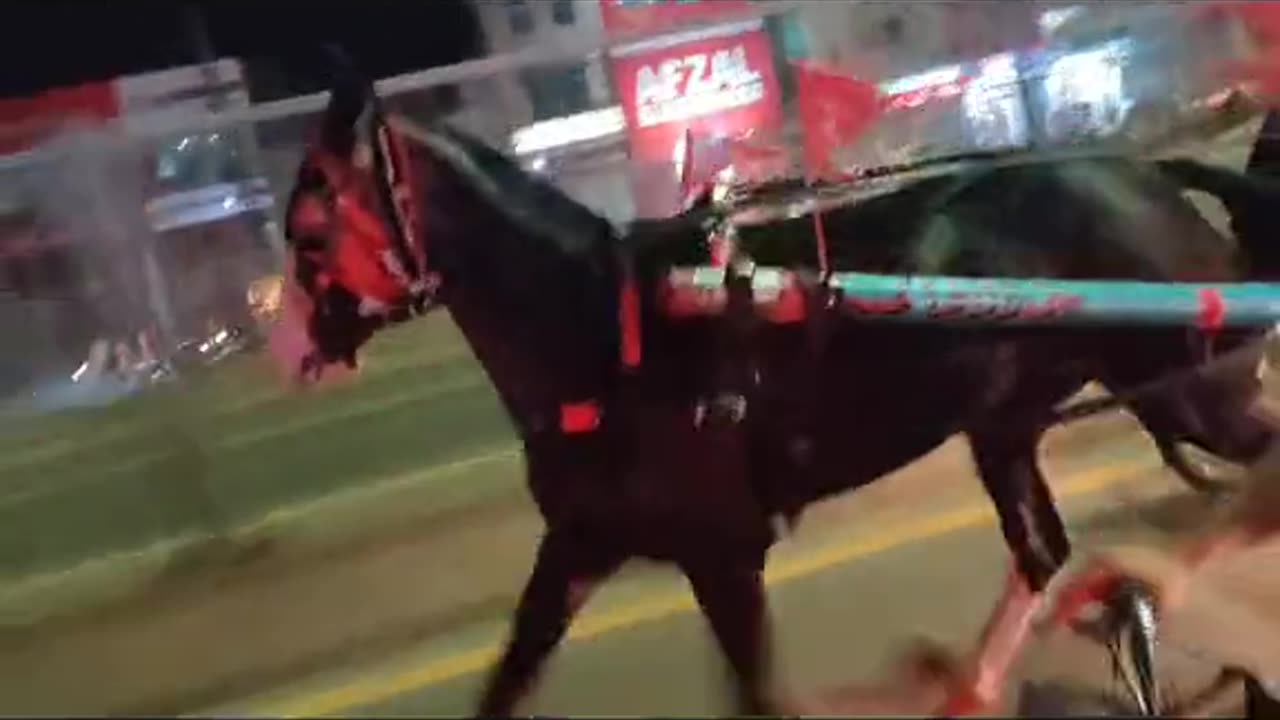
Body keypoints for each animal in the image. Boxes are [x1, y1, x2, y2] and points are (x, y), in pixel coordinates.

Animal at [288, 83, 1280, 712]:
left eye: (308, 224)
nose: (297, 345)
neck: (608, 327)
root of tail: (1144, 171)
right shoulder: (580, 543)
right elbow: (508, 678)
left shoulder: (723, 554)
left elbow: (760, 695)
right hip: (1011, 419)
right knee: (1044, 554)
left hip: (1199, 390)